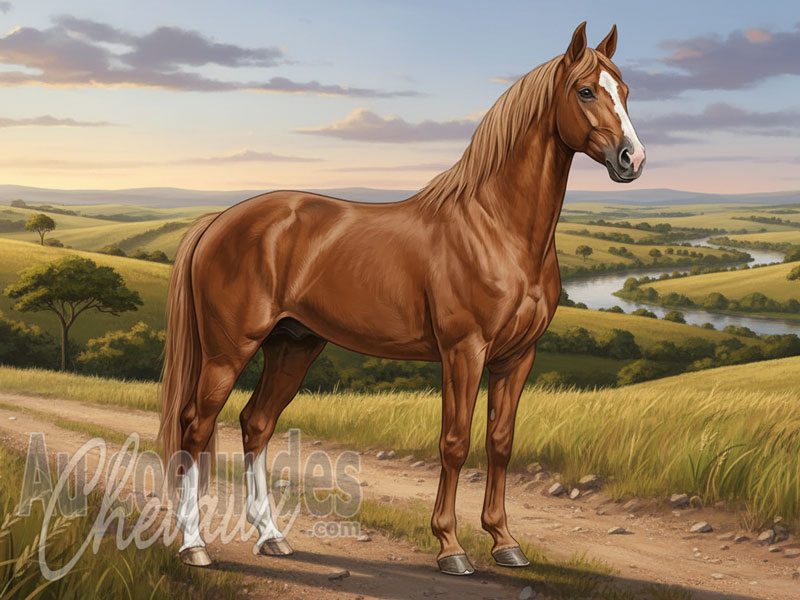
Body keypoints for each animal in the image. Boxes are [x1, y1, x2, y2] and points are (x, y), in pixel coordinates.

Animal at [158, 21, 645, 576]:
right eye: (585, 91)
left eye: (625, 91)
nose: (632, 159)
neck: (496, 228)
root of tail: (219, 219)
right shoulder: (463, 352)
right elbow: (455, 443)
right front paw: (451, 547)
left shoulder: (518, 356)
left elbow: (500, 443)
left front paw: (505, 542)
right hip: (228, 350)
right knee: (196, 425)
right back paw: (195, 545)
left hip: (293, 345)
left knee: (256, 423)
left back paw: (272, 537)